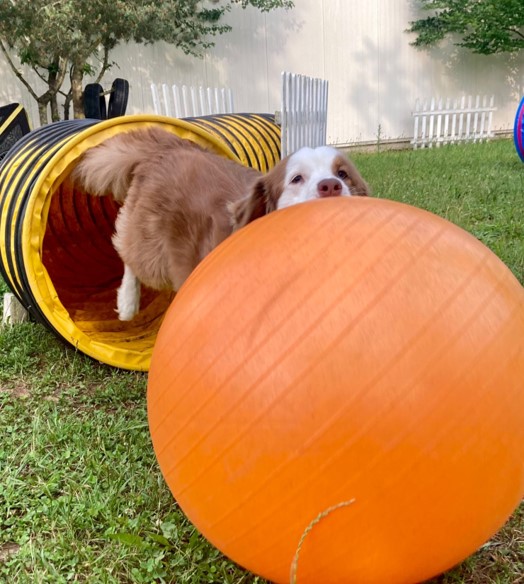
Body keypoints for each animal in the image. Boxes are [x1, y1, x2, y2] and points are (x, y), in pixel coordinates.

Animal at [72, 127, 369, 320]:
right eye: (296, 179)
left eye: (343, 174)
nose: (331, 186)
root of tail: (171, 146)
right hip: (152, 251)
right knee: (128, 251)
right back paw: (127, 303)